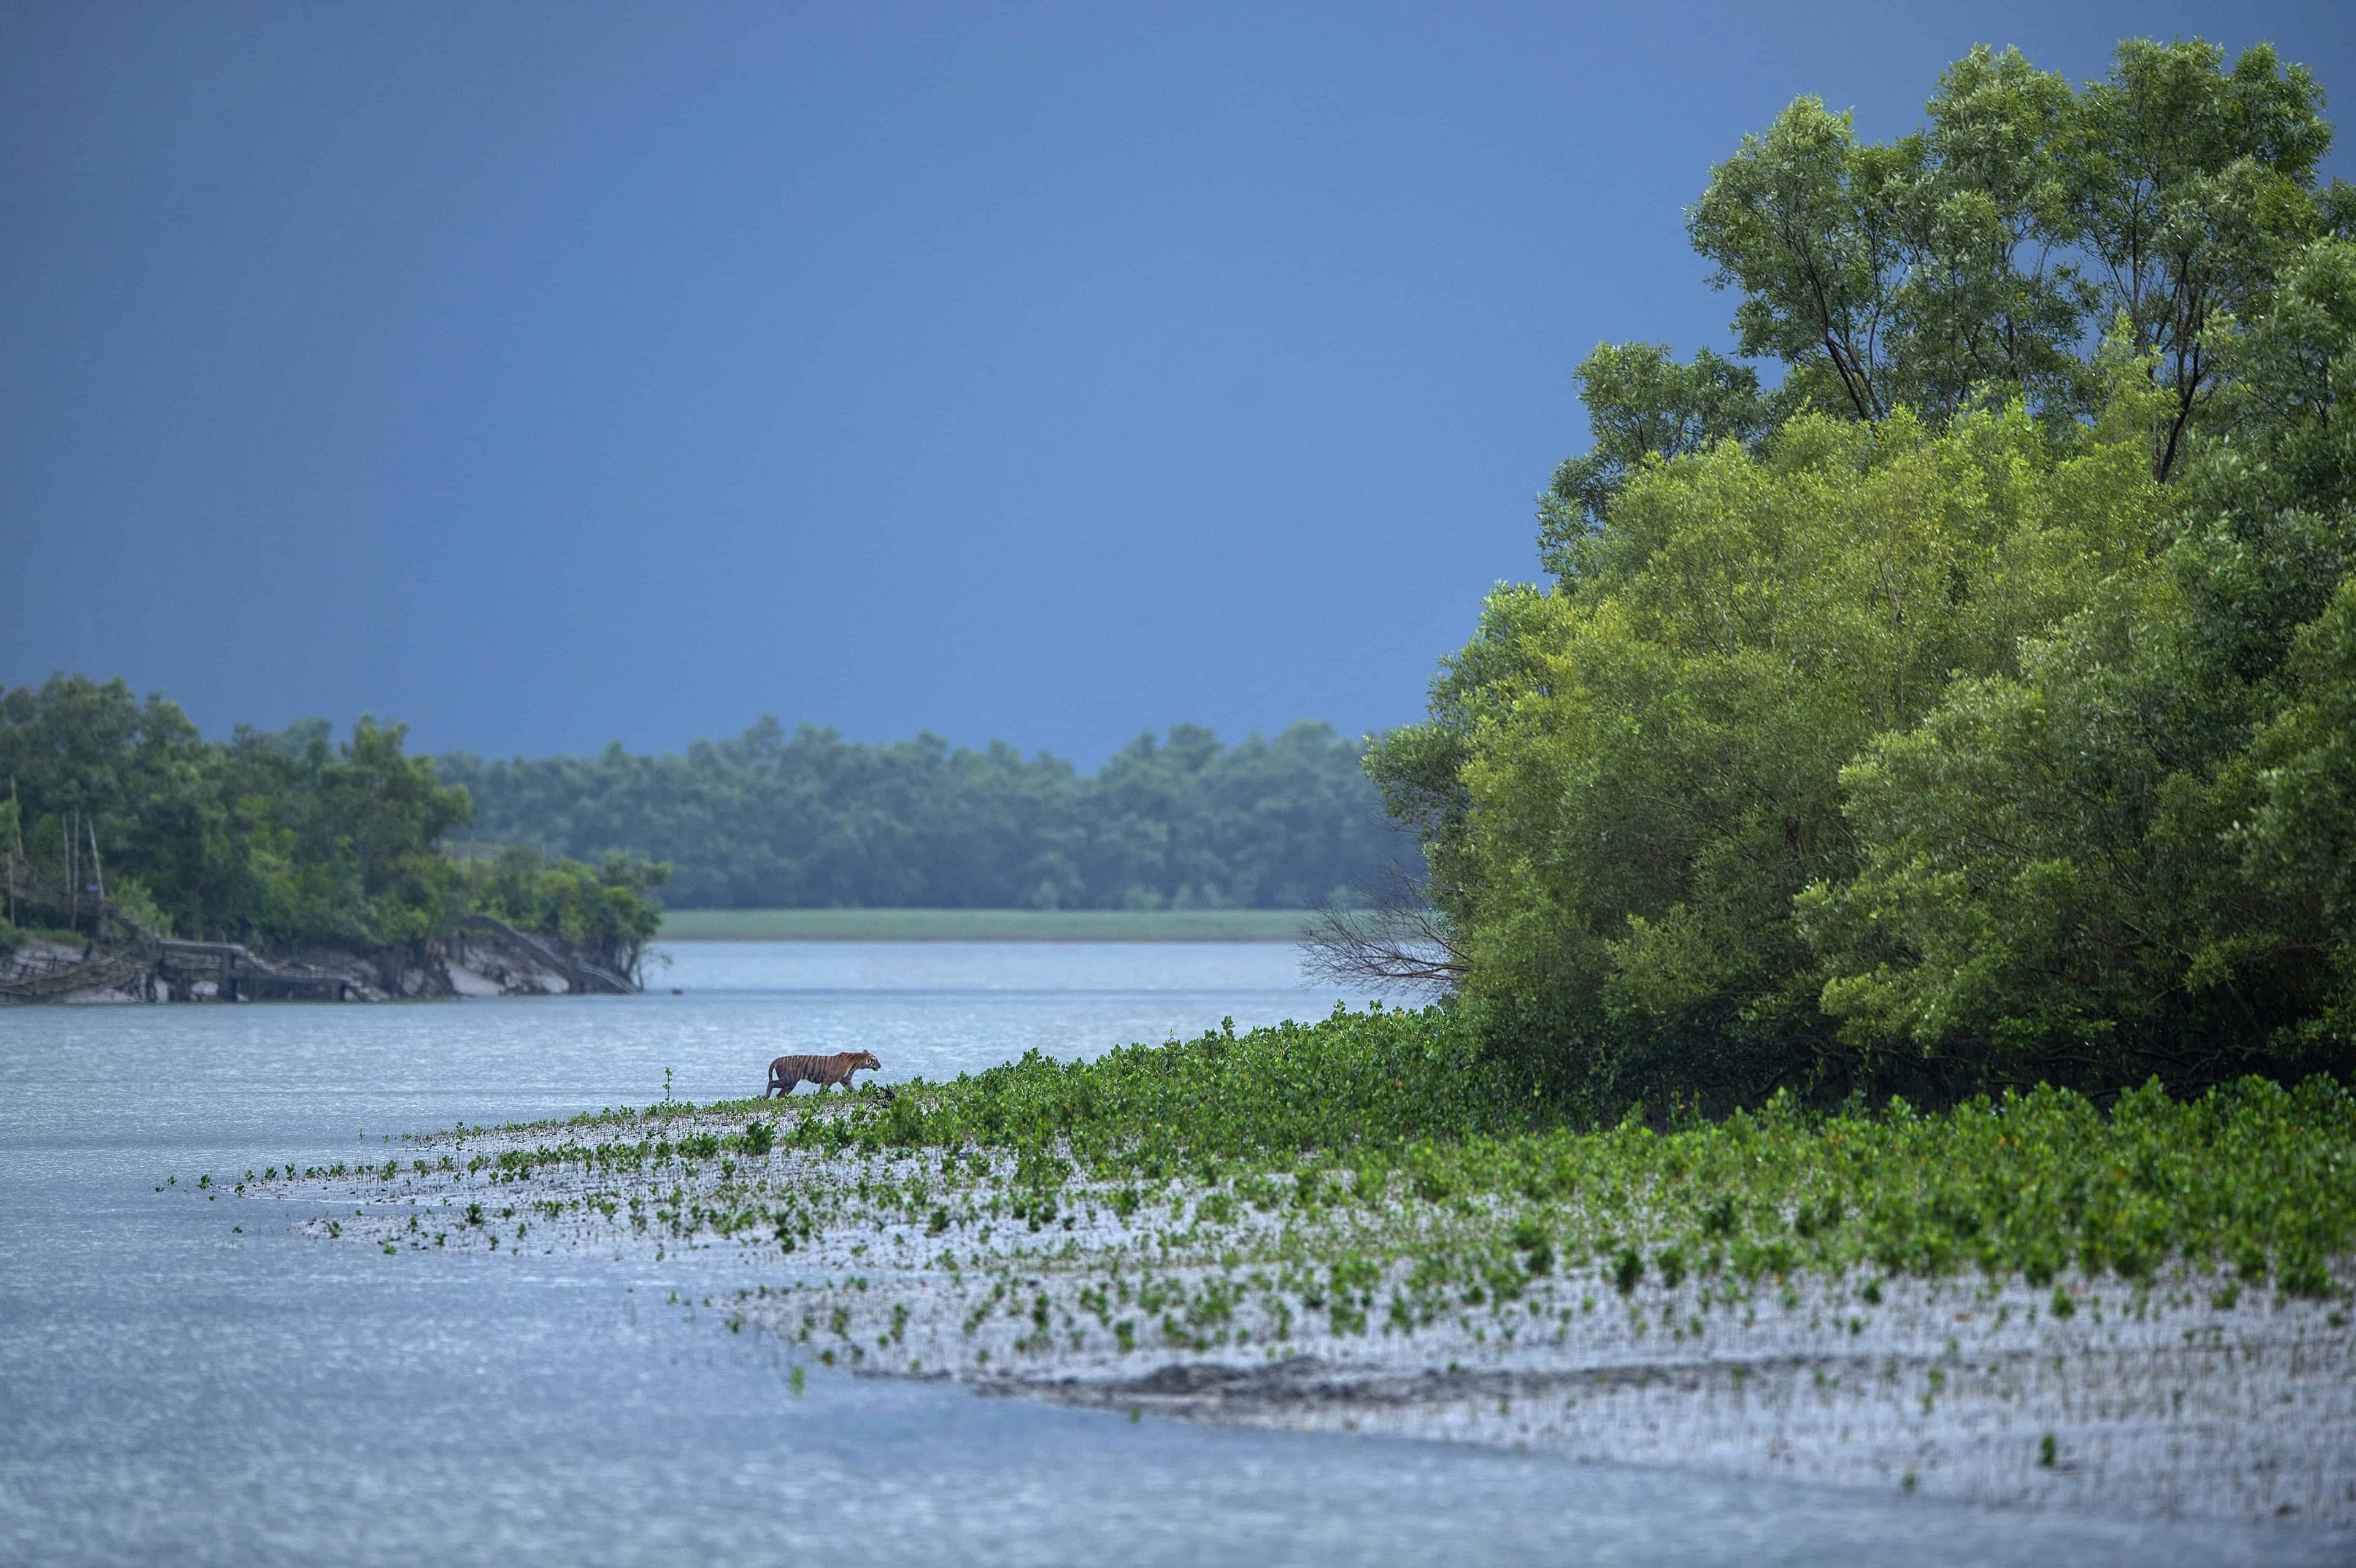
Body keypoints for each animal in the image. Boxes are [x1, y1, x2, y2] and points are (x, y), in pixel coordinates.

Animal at [765, 1050, 883, 1097]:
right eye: (875, 1060)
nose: (880, 1065)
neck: (856, 1065)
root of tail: (777, 1060)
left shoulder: (846, 1080)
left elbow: (853, 1090)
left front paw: (860, 1095)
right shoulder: (829, 1080)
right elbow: (822, 1091)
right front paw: (818, 1098)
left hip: (790, 1085)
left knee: (779, 1095)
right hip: (789, 1080)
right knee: (771, 1083)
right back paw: (766, 1097)